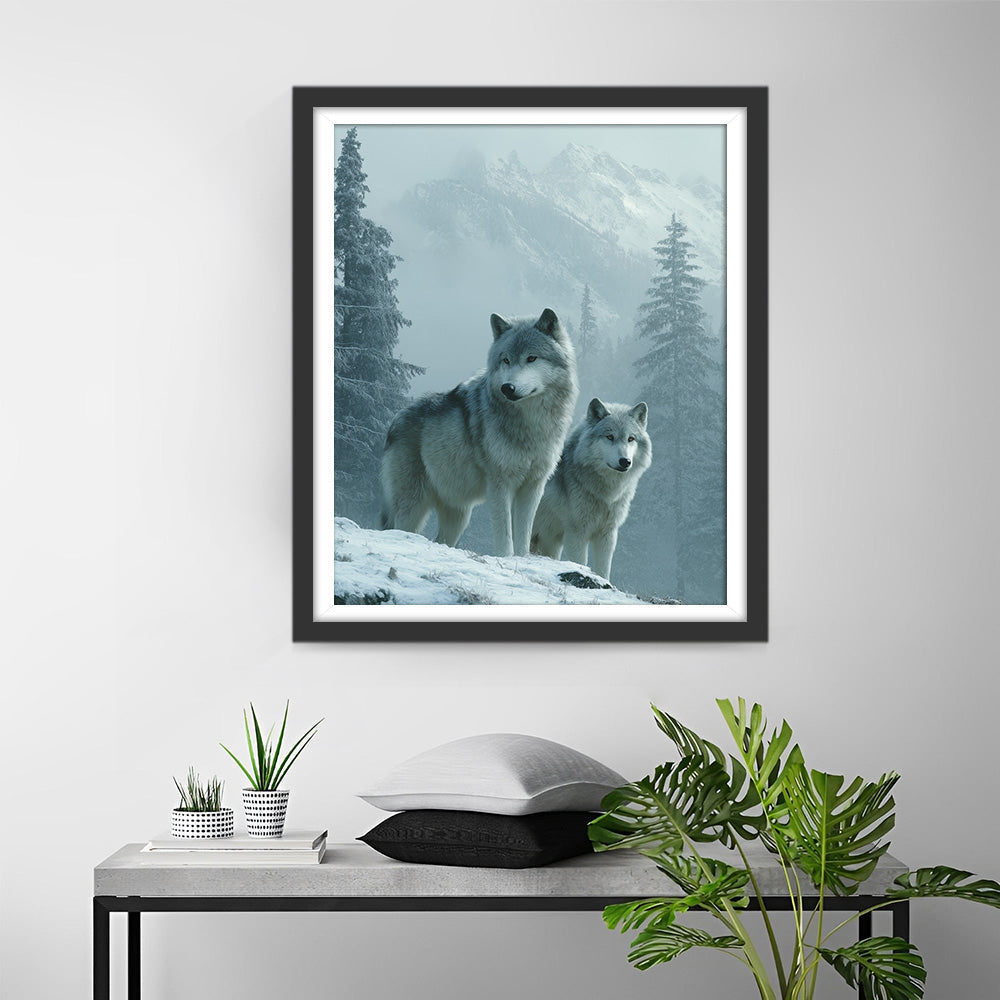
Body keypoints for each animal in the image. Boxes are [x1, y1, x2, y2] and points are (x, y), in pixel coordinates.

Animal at [380, 308, 578, 557]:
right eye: (506, 360)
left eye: (532, 358)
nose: (507, 388)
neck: (531, 424)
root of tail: (395, 419)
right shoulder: (500, 485)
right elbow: (505, 537)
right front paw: (506, 558)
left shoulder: (532, 487)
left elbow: (523, 536)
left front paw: (522, 559)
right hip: (412, 507)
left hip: (458, 516)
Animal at [530, 397, 652, 582]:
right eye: (610, 436)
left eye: (631, 438)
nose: (625, 461)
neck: (606, 494)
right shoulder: (577, 533)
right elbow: (580, 562)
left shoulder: (607, 534)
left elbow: (603, 570)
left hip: (548, 542)